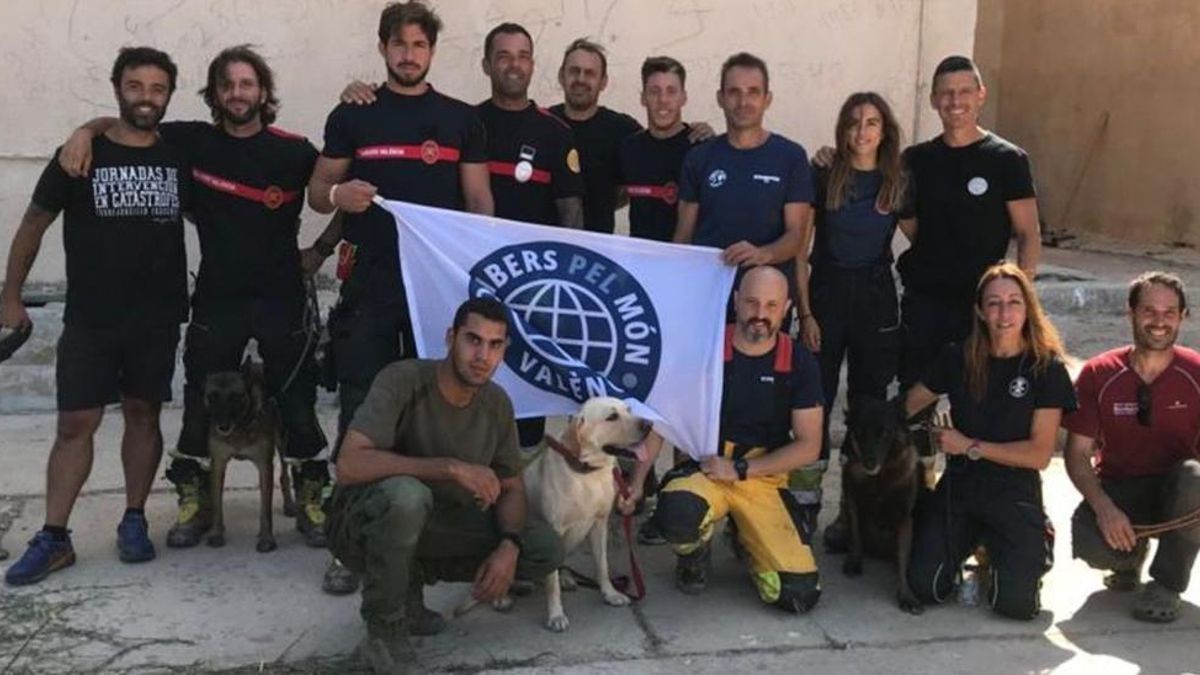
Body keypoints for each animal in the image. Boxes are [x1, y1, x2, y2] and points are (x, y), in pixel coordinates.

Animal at [202, 357, 294, 552]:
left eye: (235, 396)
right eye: (211, 397)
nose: (222, 427)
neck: (239, 428)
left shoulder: (265, 466)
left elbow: (265, 509)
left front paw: (266, 537)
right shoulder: (218, 463)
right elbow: (216, 504)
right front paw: (216, 533)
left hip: (282, 441)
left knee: (284, 473)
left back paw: (289, 504)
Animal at [844, 391, 926, 612]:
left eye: (884, 433)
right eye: (860, 431)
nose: (869, 462)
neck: (879, 478)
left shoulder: (904, 518)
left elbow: (903, 559)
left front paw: (906, 595)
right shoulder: (852, 502)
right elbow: (855, 535)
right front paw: (854, 562)